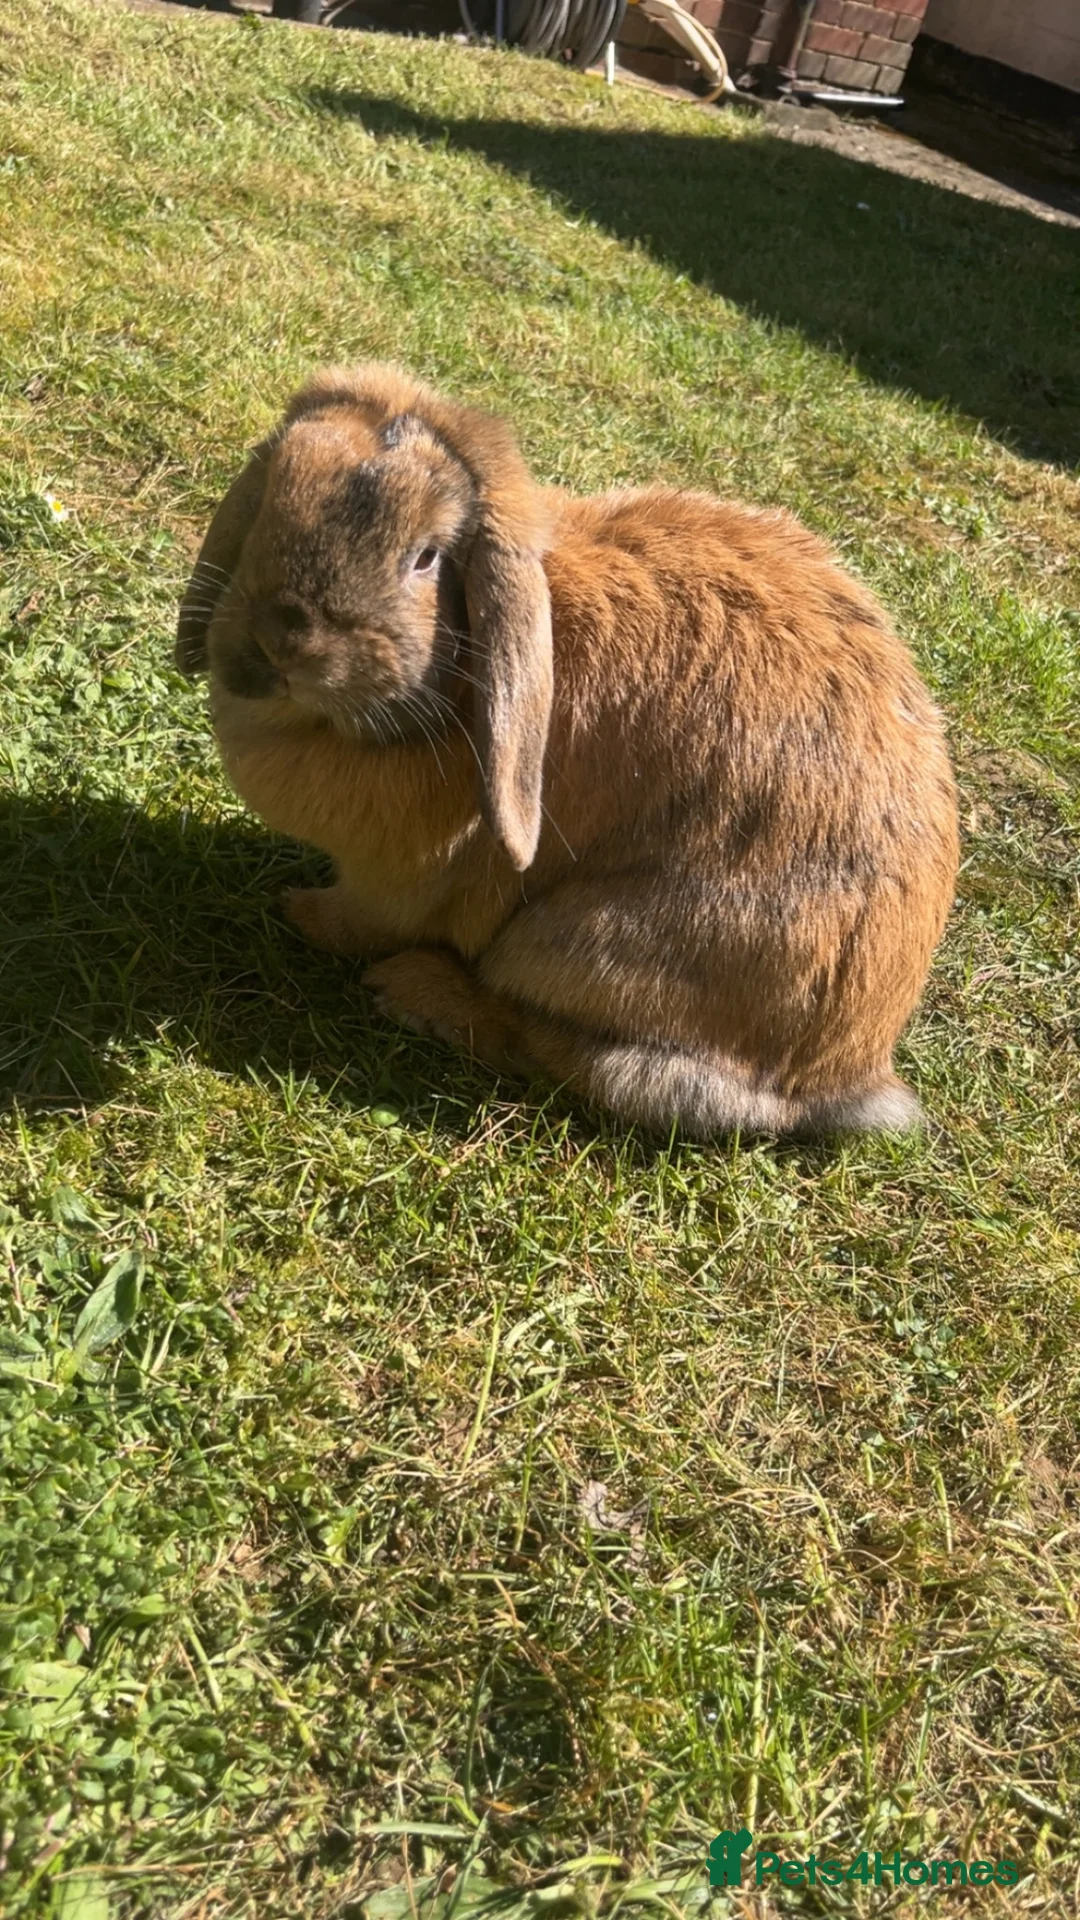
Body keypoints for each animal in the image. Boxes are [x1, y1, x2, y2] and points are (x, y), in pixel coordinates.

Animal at [176, 362, 959, 1138]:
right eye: (271, 494)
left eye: (425, 558)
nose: (280, 642)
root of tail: (848, 1071)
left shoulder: (396, 882)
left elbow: (360, 920)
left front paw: (300, 910)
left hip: (575, 946)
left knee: (556, 1049)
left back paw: (414, 989)